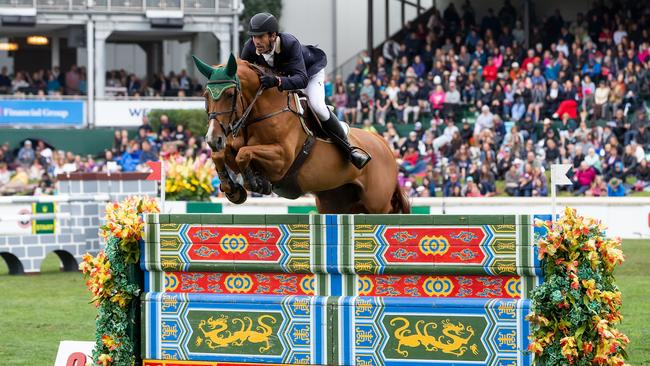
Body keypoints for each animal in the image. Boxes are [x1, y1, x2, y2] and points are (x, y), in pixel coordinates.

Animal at [190, 54, 408, 214]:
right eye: (205, 96)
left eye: (229, 95)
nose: (213, 139)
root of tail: (384, 145)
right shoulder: (232, 147)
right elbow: (221, 155)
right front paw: (232, 189)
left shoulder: (281, 160)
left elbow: (244, 153)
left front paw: (255, 182)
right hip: (335, 202)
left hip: (377, 203)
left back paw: (358, 156)